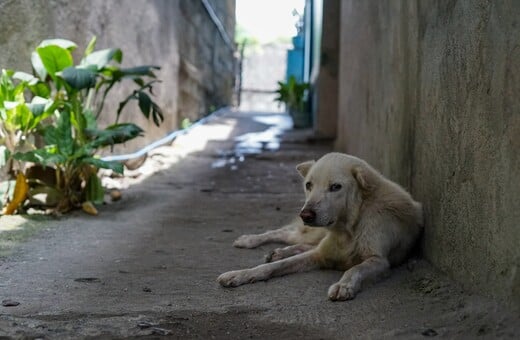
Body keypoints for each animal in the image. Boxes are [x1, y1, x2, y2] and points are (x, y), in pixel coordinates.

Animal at [215, 153, 422, 302]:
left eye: (336, 187)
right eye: (309, 185)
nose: (305, 215)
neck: (348, 230)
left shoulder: (379, 261)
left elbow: (354, 269)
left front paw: (343, 286)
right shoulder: (319, 254)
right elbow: (272, 267)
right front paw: (240, 274)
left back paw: (278, 251)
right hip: (312, 233)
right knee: (285, 233)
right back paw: (249, 240)